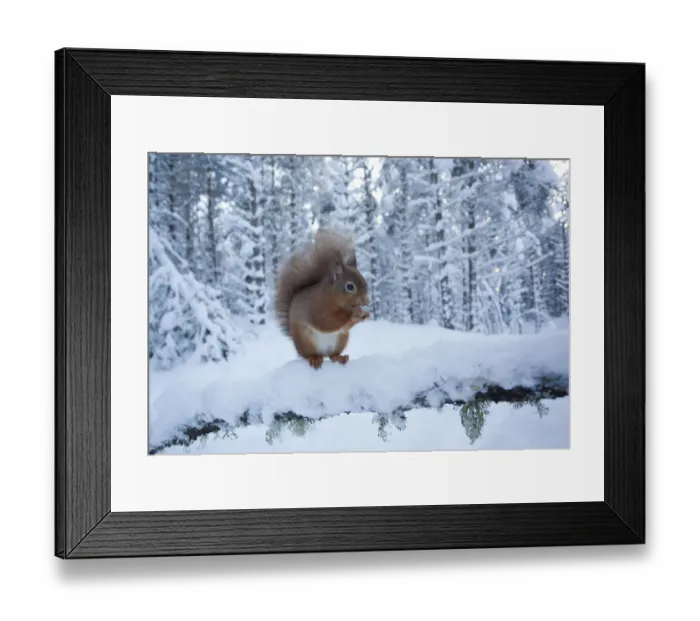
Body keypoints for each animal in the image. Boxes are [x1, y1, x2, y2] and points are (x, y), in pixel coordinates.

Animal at [274, 228, 370, 369]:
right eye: (350, 286)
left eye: (364, 281)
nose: (366, 301)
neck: (332, 297)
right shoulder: (317, 308)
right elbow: (327, 322)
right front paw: (355, 313)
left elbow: (344, 325)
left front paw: (365, 314)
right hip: (306, 341)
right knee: (310, 355)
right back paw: (315, 359)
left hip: (341, 340)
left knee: (332, 355)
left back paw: (340, 357)